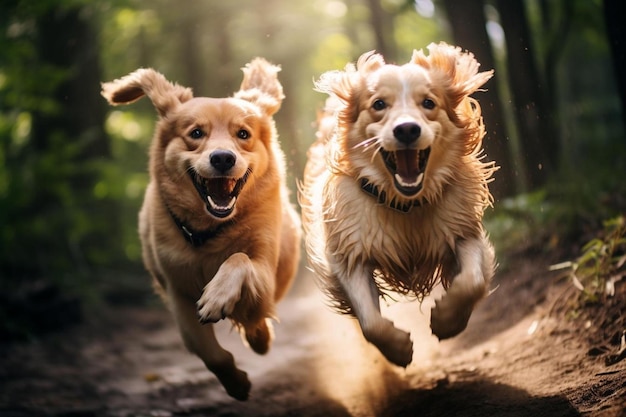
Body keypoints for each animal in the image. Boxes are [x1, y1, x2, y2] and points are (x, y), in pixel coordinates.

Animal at [101, 59, 302, 400]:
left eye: (243, 134)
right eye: (196, 133)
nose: (222, 157)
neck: (211, 231)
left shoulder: (263, 267)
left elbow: (239, 260)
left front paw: (219, 296)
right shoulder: (178, 294)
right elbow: (211, 354)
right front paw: (237, 384)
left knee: (257, 317)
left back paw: (260, 338)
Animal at [298, 43, 498, 368]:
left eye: (428, 102)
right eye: (379, 104)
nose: (407, 130)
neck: (405, 204)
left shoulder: (461, 231)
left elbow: (473, 281)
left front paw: (448, 320)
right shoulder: (350, 252)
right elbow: (371, 322)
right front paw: (398, 349)